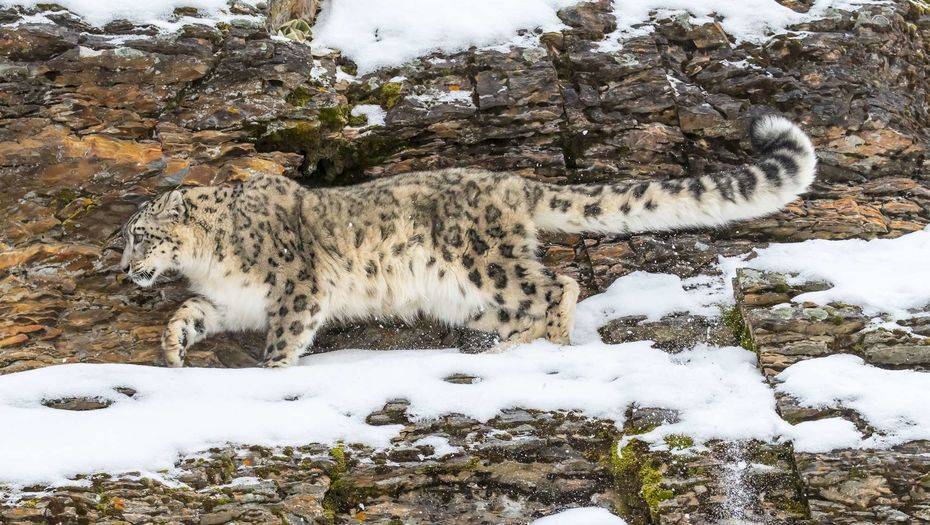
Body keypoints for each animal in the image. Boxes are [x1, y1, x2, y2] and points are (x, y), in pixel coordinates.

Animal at [121, 116, 812, 366]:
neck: (212, 261)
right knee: (524, 305)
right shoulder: (226, 300)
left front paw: (273, 373)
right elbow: (190, 311)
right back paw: (505, 346)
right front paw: (173, 352)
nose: (125, 268)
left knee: (558, 283)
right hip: (466, 293)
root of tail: (511, 183)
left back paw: (543, 345)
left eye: (139, 235)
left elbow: (285, 334)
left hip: (483, 263)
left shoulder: (294, 286)